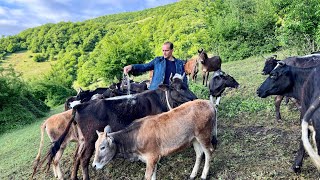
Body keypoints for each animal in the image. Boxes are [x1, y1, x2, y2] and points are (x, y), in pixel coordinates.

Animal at [42, 74, 198, 179]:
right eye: (179, 88)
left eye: (186, 85)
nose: (195, 98)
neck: (159, 99)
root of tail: (79, 106)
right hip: (90, 140)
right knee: (83, 160)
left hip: (82, 140)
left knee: (76, 158)